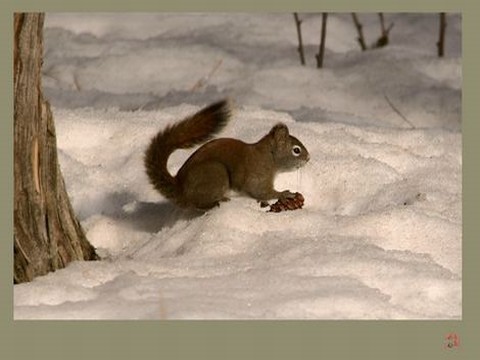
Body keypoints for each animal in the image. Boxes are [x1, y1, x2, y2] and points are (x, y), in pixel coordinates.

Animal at [145, 100, 312, 210]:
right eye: (296, 150)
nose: (308, 158)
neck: (268, 157)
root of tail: (181, 188)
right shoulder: (257, 176)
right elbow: (261, 192)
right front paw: (285, 194)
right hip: (215, 172)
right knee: (198, 204)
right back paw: (217, 201)